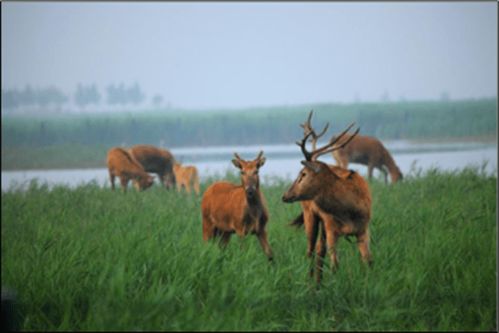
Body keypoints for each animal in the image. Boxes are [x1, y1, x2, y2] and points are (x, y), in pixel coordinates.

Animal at [284, 115, 374, 282]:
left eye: (303, 173)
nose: (285, 195)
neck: (350, 211)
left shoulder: (364, 229)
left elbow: (369, 262)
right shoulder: (332, 228)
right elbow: (335, 265)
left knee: (319, 250)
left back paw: (317, 281)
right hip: (310, 215)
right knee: (311, 251)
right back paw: (311, 281)